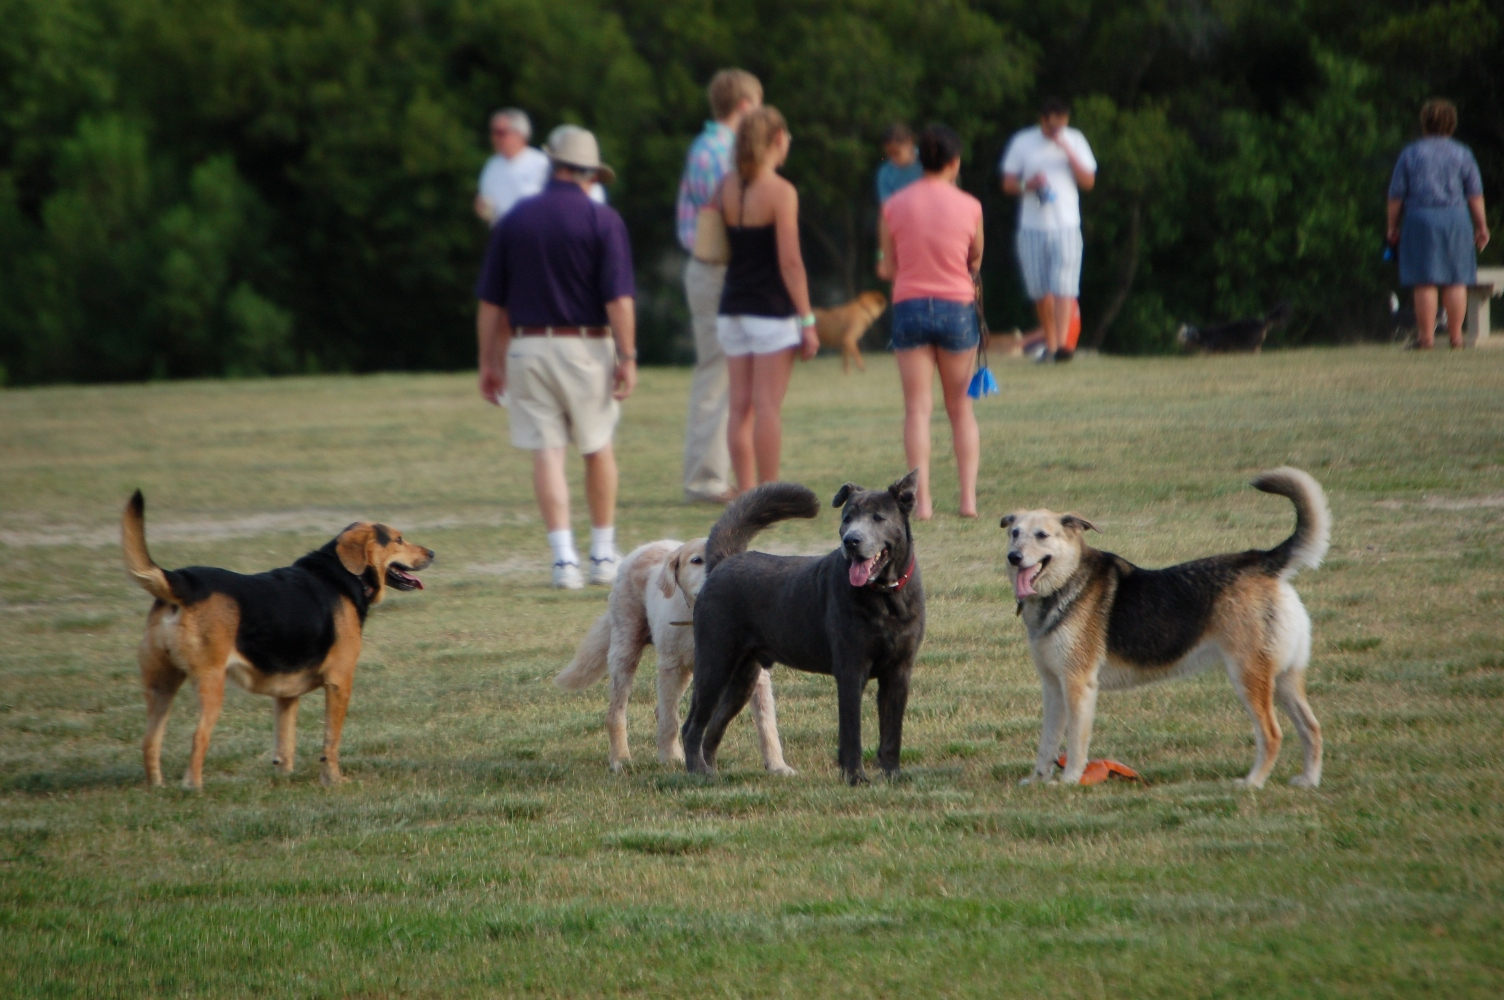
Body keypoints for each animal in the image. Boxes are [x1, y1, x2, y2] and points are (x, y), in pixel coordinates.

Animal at [121, 490, 433, 787]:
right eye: (399, 539)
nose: (432, 553)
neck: (344, 574)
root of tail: (182, 582)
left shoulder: (286, 693)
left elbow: (285, 743)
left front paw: (285, 778)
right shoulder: (339, 681)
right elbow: (330, 742)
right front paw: (333, 780)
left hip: (161, 684)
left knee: (150, 741)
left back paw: (157, 788)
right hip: (211, 682)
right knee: (198, 737)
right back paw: (193, 787)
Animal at [556, 538, 800, 769]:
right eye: (696, 560)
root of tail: (645, 548)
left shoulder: (755, 675)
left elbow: (766, 723)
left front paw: (777, 766)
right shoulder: (670, 667)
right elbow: (670, 720)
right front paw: (671, 758)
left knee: (658, 710)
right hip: (626, 651)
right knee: (618, 713)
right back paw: (621, 758)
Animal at [685, 472, 926, 781]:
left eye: (878, 518)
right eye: (847, 518)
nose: (851, 540)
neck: (886, 597)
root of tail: (723, 562)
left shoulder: (899, 670)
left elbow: (892, 731)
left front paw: (892, 774)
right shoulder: (851, 668)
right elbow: (852, 731)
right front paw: (854, 776)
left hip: (743, 677)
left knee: (713, 726)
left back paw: (712, 772)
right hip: (715, 662)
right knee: (692, 726)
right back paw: (697, 772)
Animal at [998, 469, 1329, 787]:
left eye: (1042, 535)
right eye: (1015, 533)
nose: (1013, 557)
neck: (1066, 582)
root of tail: (1261, 561)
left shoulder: (1078, 685)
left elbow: (1076, 744)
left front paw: (1069, 781)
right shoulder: (1053, 687)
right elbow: (1047, 742)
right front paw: (1037, 780)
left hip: (1249, 676)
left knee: (1272, 735)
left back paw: (1252, 783)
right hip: (1284, 678)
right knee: (1311, 727)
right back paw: (1308, 781)